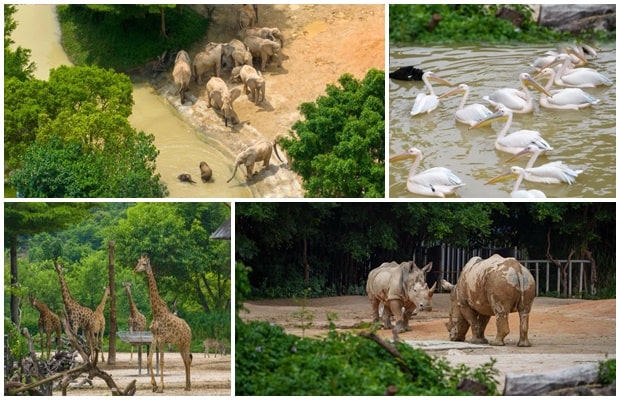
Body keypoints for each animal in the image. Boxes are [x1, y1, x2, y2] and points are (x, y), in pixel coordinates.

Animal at [134, 255, 193, 392]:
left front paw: (161, 387)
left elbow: (161, 361)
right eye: (138, 262)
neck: (156, 312)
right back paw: (186, 386)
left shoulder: (162, 338)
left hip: (186, 342)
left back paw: (188, 386)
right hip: (179, 344)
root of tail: (189, 329)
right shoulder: (155, 337)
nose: (135, 269)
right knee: (186, 360)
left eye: (144, 264)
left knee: (187, 360)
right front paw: (154, 386)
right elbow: (149, 359)